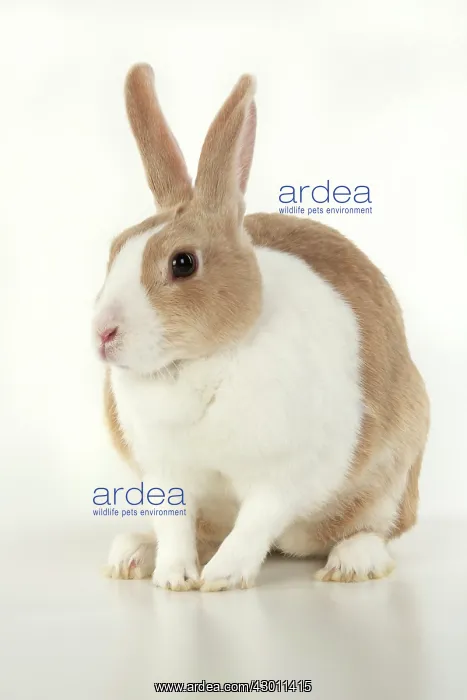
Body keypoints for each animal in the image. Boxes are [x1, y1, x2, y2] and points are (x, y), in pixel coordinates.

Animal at [94, 64, 429, 591]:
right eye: (113, 251)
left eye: (183, 263)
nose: (102, 333)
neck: (200, 364)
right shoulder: (165, 475)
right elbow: (174, 527)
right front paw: (174, 578)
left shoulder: (286, 475)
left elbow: (255, 522)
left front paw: (222, 578)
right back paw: (131, 554)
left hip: (394, 478)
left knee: (372, 529)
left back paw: (351, 563)